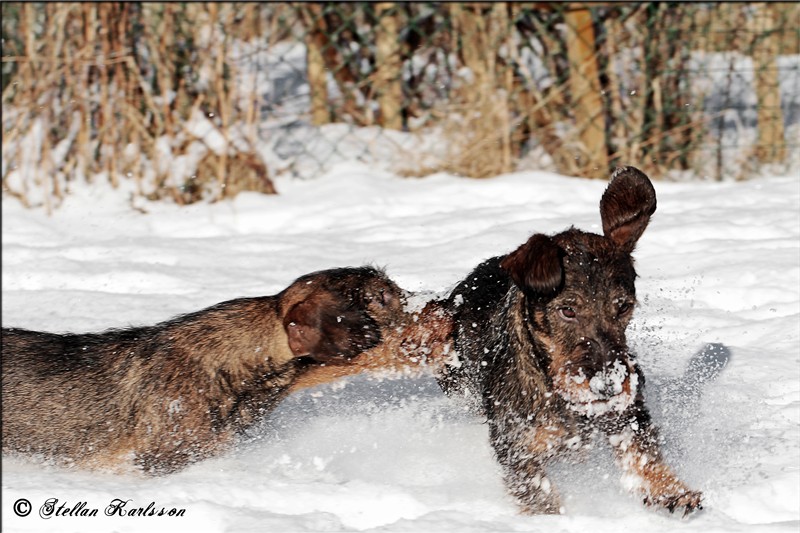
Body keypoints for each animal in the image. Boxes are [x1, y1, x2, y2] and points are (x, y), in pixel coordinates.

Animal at [436, 167, 703, 516]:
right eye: (568, 310)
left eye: (623, 306)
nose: (608, 386)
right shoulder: (516, 445)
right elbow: (537, 491)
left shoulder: (627, 414)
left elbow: (643, 452)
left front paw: (671, 491)